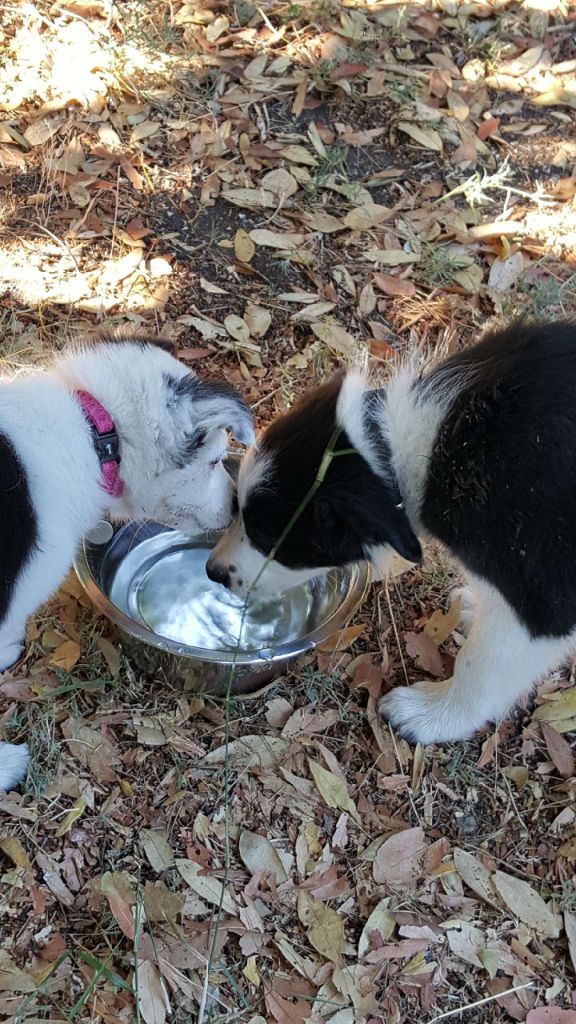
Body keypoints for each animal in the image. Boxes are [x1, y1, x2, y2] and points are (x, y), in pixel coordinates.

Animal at [208, 319, 573, 745]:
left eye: (267, 538)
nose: (212, 572)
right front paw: (475, 607)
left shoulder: (543, 597)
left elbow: (483, 663)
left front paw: (433, 715)